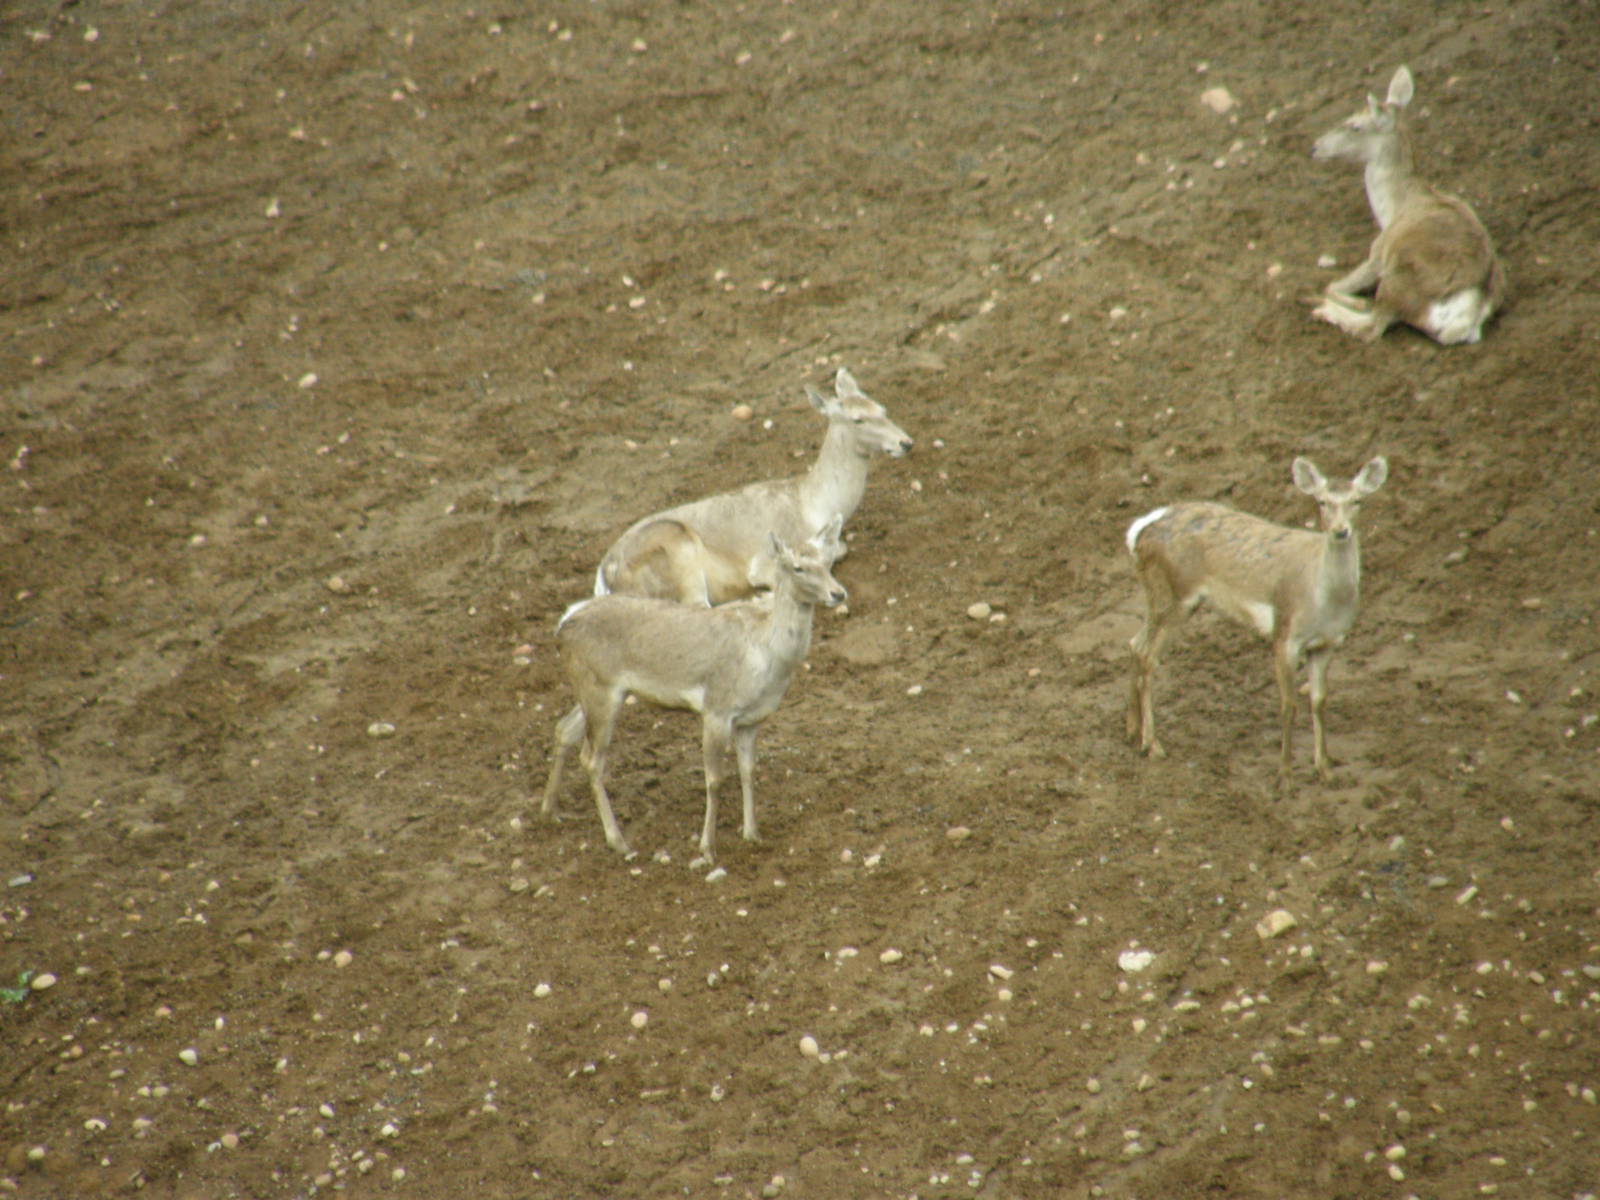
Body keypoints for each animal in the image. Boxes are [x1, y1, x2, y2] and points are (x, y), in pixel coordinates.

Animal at [542, 522, 847, 864]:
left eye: (828, 562)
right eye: (798, 567)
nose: (838, 593)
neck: (766, 658)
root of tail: (562, 626)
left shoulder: (751, 720)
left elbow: (748, 771)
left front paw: (752, 834)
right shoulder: (717, 708)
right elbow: (714, 780)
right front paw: (707, 848)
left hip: (596, 689)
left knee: (564, 729)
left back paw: (550, 811)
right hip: (600, 689)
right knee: (592, 759)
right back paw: (618, 841)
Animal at [593, 366, 911, 607]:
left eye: (882, 408)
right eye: (858, 419)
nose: (905, 442)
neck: (814, 503)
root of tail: (605, 577)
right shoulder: (766, 561)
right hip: (679, 556)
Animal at [1124, 456, 1389, 786]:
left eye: (1358, 501)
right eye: (1321, 501)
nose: (1341, 531)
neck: (1324, 603)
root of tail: (1138, 531)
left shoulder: (1328, 643)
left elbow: (1319, 700)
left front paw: (1325, 769)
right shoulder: (1284, 635)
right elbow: (1288, 704)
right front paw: (1284, 775)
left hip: (1164, 598)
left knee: (1135, 644)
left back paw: (1133, 732)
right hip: (1176, 596)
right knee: (1148, 656)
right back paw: (1153, 745)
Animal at [1311, 65, 1505, 345]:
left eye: (1356, 126)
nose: (1315, 147)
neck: (1392, 209)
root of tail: (1470, 316)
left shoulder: (1377, 255)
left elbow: (1332, 285)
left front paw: (1352, 300)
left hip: (1397, 280)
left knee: (1373, 326)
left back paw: (1326, 310)